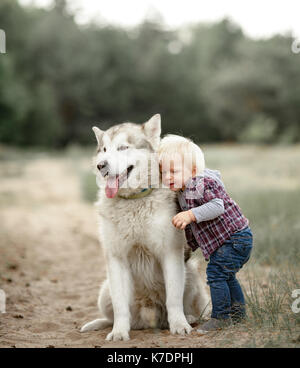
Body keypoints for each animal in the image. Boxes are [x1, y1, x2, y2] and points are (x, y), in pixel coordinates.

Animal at [81, 113, 210, 340]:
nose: (101, 165)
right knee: (113, 315)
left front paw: (179, 325)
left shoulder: (170, 253)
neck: (134, 201)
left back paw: (189, 318)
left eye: (123, 147)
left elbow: (174, 299)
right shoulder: (116, 258)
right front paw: (119, 332)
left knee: (189, 308)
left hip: (190, 274)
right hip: (105, 290)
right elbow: (120, 306)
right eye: (104, 150)